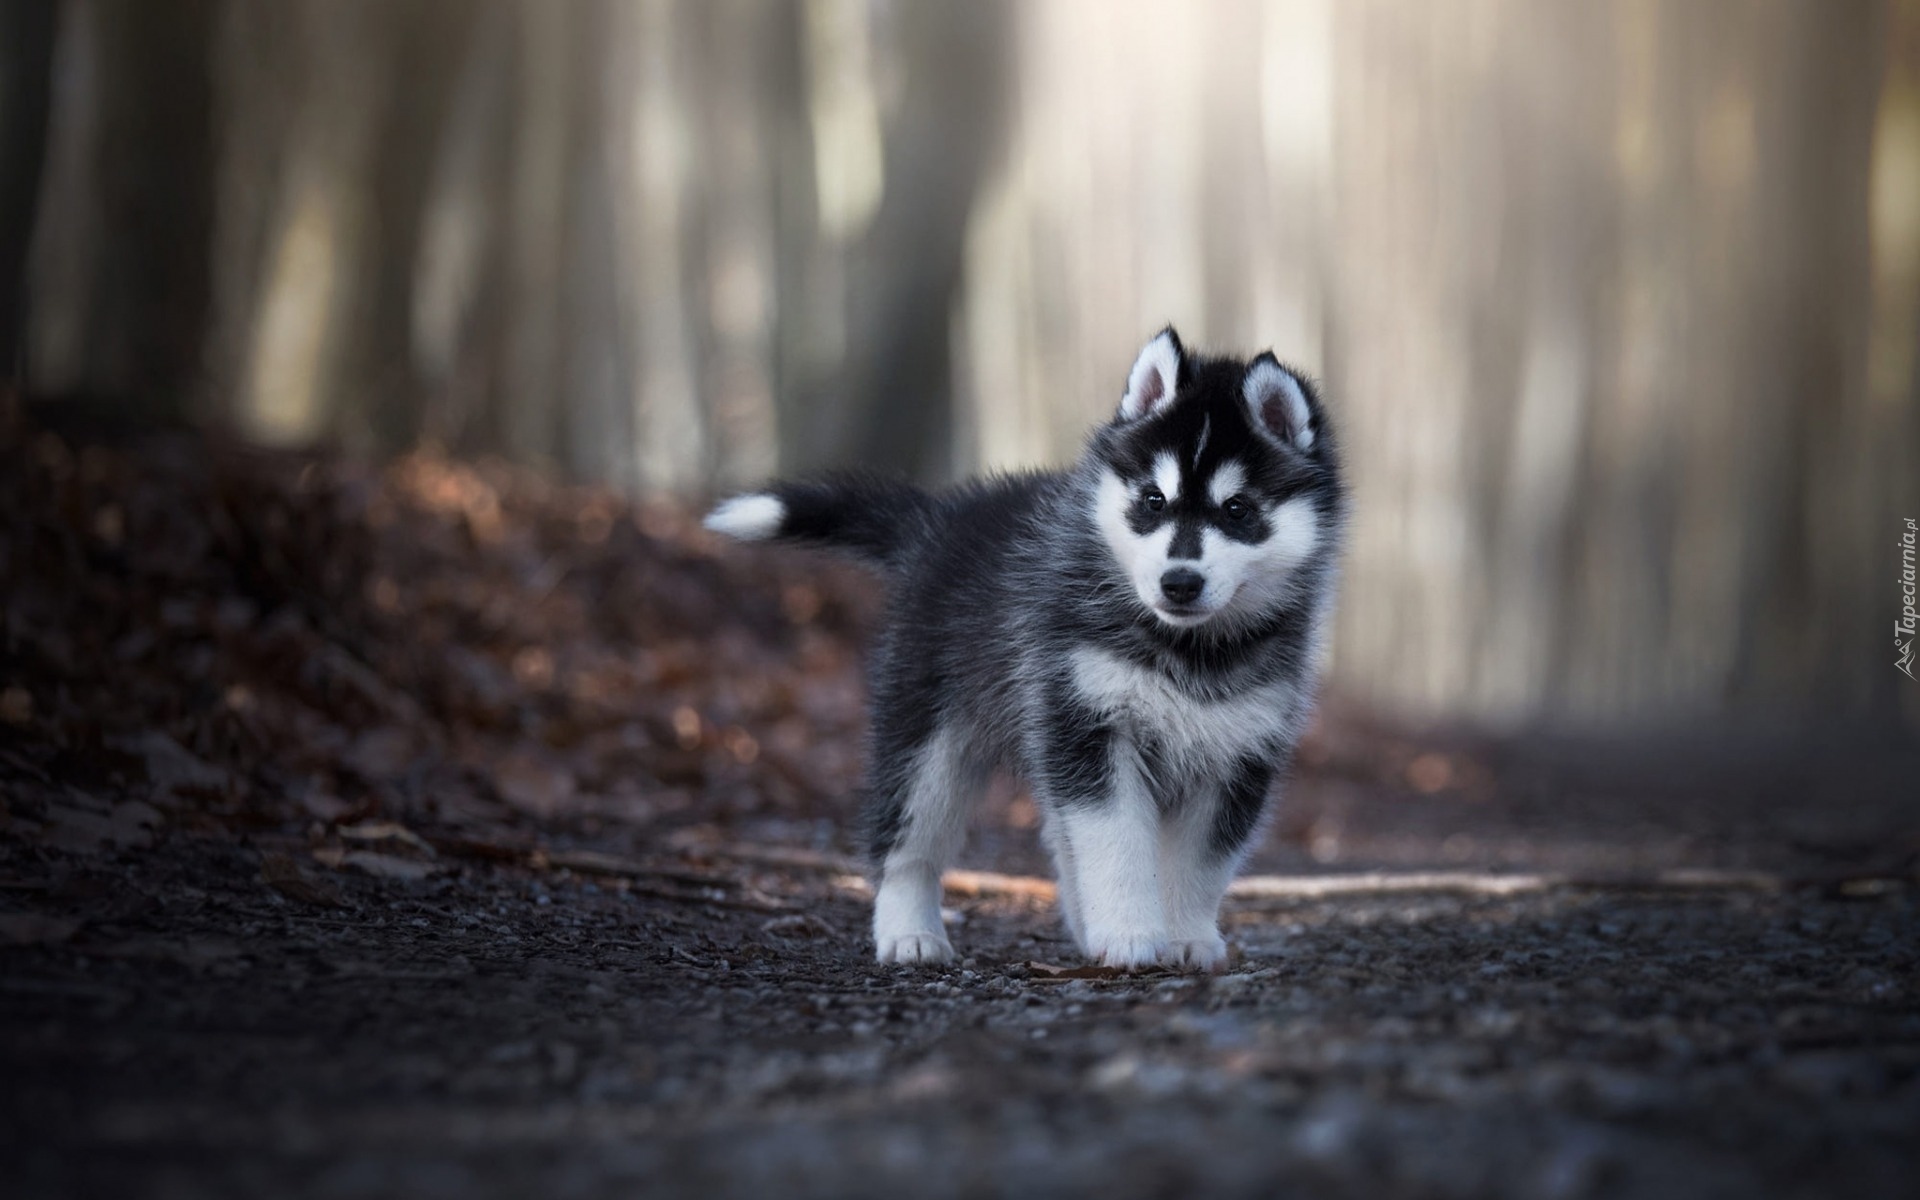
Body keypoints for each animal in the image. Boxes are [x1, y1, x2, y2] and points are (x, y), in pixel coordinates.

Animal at [706, 330, 1351, 975]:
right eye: (1152, 501)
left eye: (1237, 509)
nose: (1179, 582)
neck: (1189, 651)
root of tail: (941, 519)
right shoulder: (1088, 724)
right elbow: (1115, 843)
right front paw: (1129, 935)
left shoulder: (1239, 754)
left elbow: (1200, 864)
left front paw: (1186, 937)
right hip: (928, 739)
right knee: (907, 840)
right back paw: (910, 932)